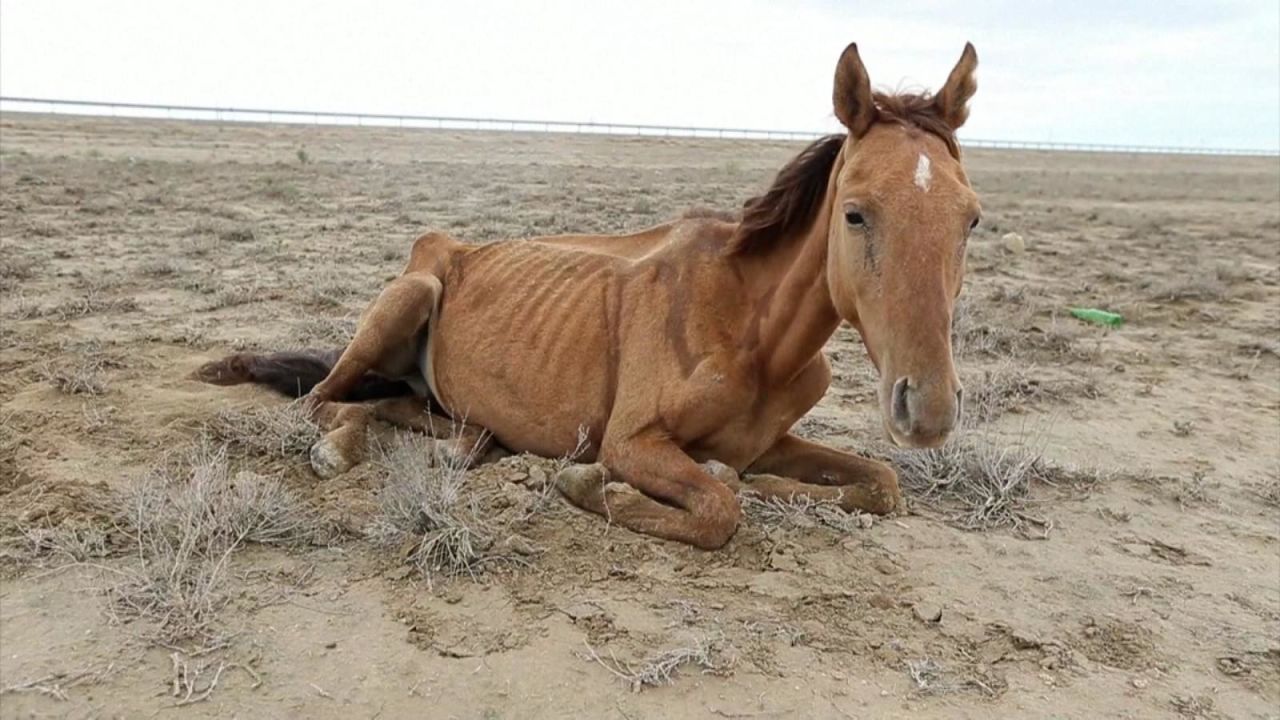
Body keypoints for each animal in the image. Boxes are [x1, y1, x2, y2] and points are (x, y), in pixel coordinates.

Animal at [197, 43, 977, 548]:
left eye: (970, 218)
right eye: (855, 213)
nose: (928, 409)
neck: (751, 330)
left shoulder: (771, 442)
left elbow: (877, 482)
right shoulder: (633, 440)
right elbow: (719, 507)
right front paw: (588, 485)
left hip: (443, 398)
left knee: (434, 423)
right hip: (408, 295)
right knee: (326, 401)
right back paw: (339, 447)